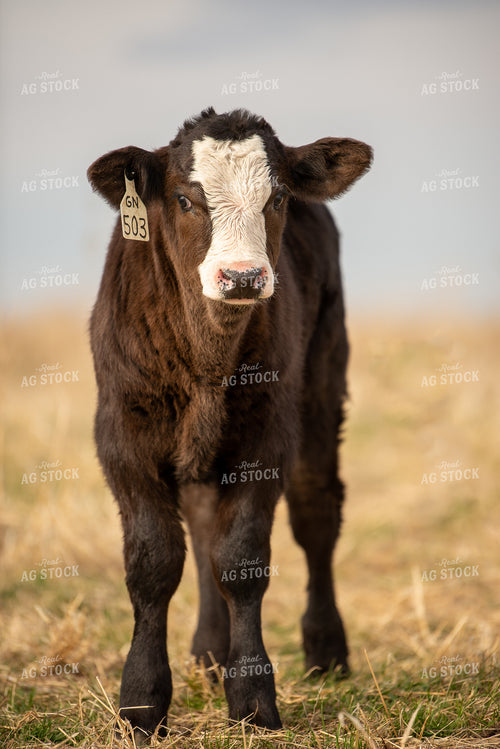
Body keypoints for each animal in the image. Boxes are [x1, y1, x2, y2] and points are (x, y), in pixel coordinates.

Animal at [87, 107, 372, 739]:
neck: (206, 363)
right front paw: (141, 706)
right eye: (184, 199)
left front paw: (253, 701)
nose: (241, 278)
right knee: (200, 527)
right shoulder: (122, 434)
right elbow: (154, 562)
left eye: (279, 197)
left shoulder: (266, 434)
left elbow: (241, 560)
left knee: (316, 514)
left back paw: (326, 652)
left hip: (321, 385)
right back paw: (208, 652)